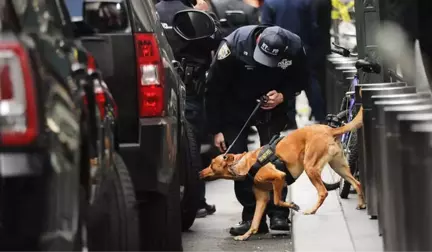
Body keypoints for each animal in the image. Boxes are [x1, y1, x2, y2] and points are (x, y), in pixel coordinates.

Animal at [199, 107, 364, 240]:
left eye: (211, 164)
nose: (200, 172)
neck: (243, 164)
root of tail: (329, 129)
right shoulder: (261, 199)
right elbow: (255, 222)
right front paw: (245, 236)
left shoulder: (279, 177)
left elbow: (278, 201)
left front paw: (293, 205)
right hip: (339, 167)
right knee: (357, 183)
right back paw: (361, 204)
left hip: (310, 167)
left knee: (323, 192)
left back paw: (311, 210)